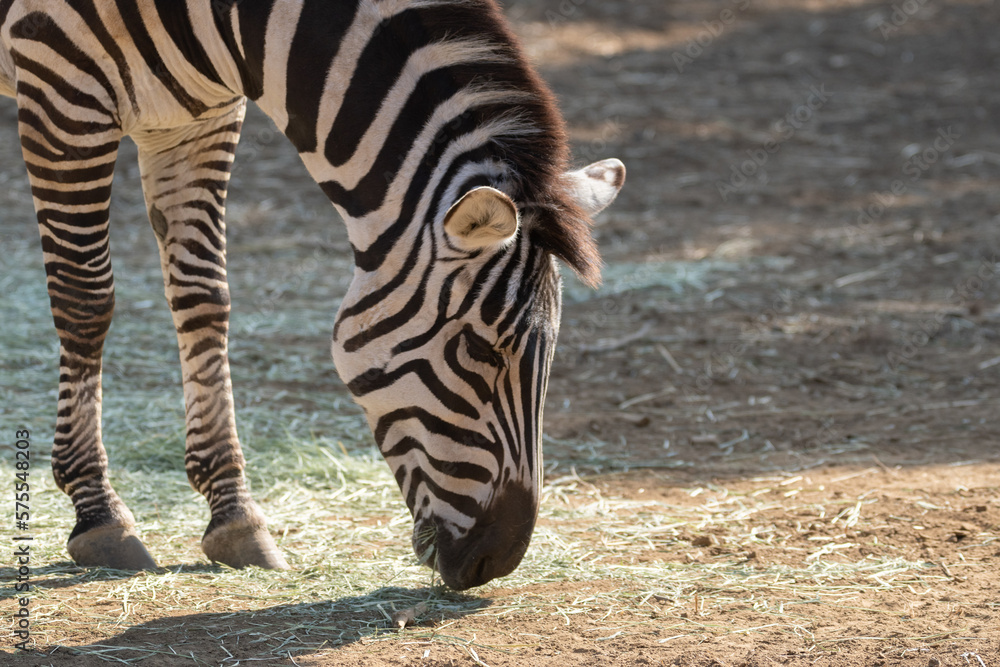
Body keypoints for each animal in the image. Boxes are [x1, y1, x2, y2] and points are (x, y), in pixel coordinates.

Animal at [1, 0, 624, 588]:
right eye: (478, 350)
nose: (498, 561)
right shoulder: (60, 85)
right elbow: (85, 296)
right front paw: (99, 513)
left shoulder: (197, 117)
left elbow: (204, 298)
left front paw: (234, 515)